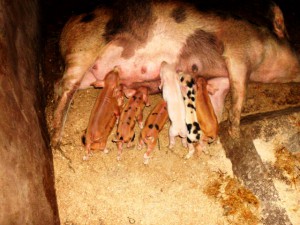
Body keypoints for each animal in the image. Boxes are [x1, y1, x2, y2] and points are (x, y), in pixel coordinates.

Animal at [50, 0, 298, 147]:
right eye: (298, 49)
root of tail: (64, 31)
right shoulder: (238, 52)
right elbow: (239, 94)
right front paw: (236, 134)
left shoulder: (221, 78)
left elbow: (219, 96)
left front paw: (214, 128)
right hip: (84, 48)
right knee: (64, 88)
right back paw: (55, 140)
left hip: (91, 75)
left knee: (65, 86)